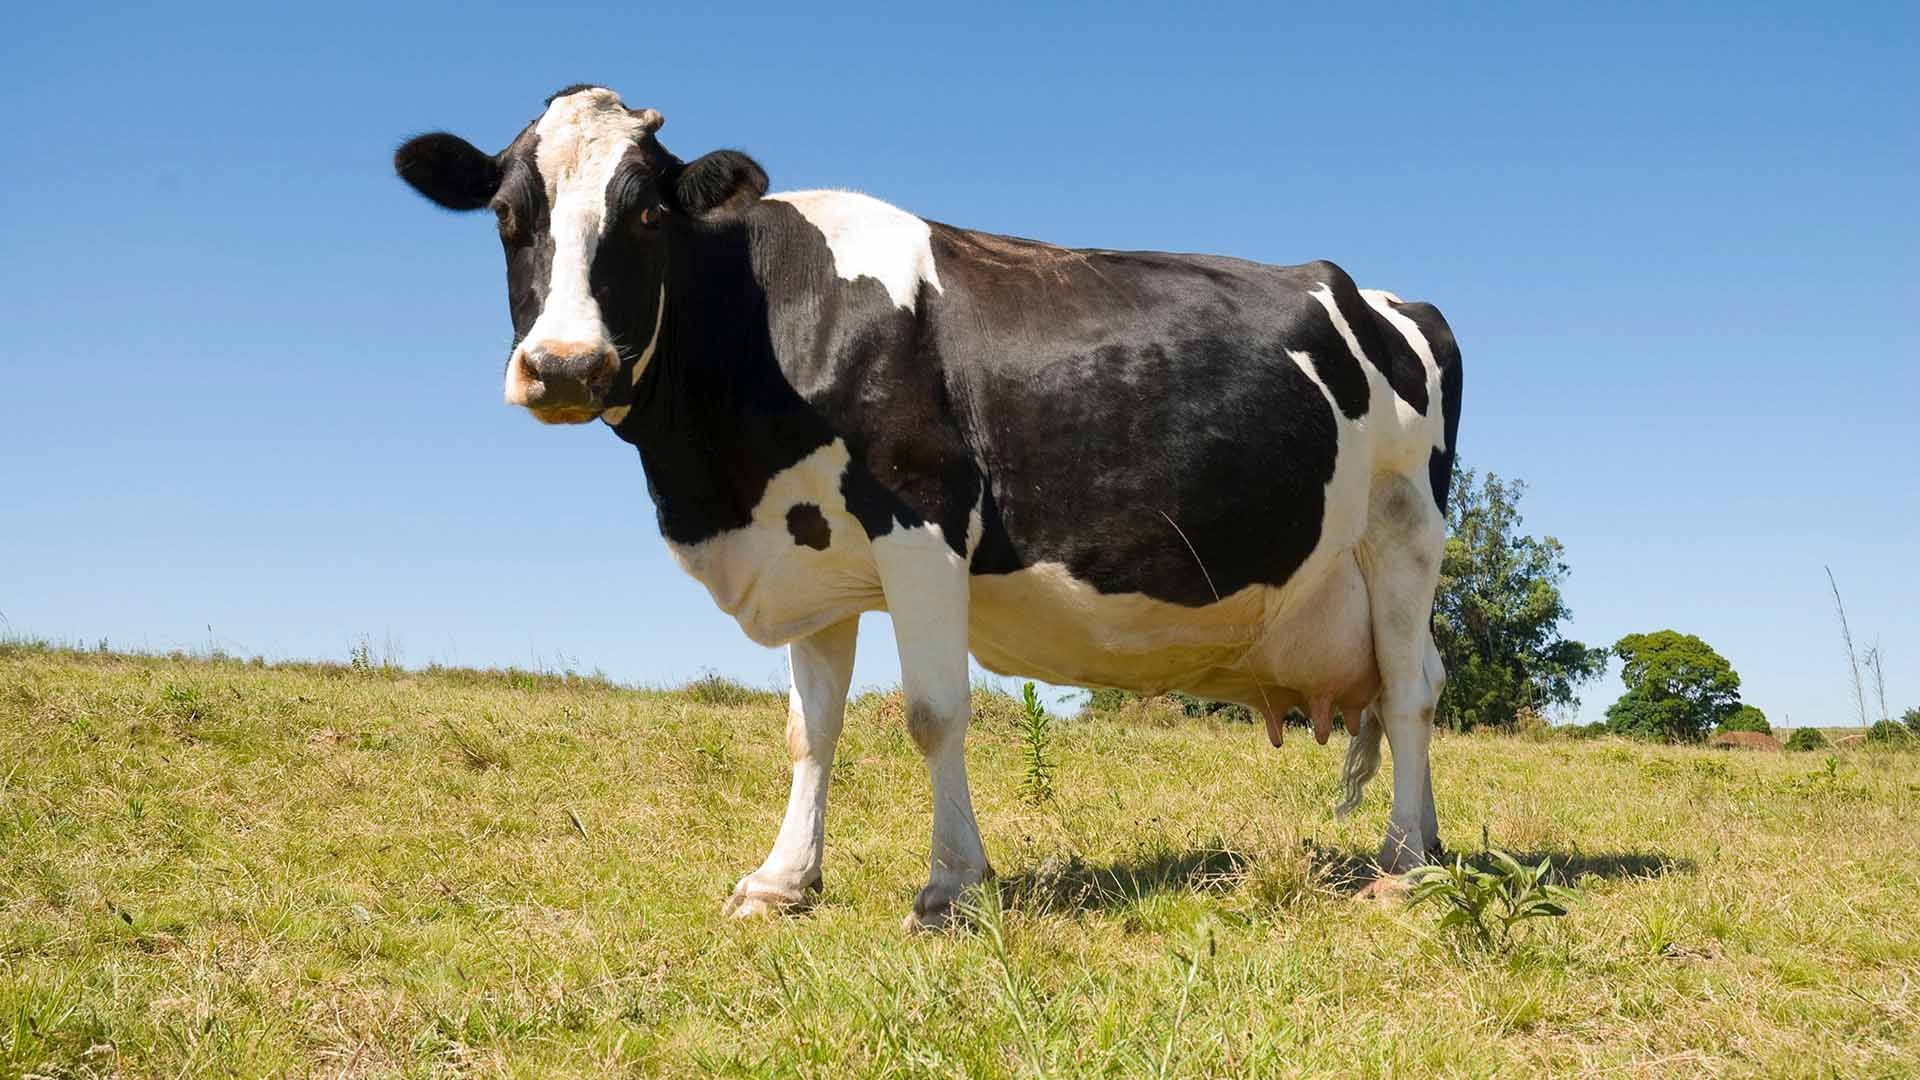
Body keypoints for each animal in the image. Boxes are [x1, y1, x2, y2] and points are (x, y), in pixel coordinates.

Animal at [395, 85, 1463, 929]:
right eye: (506, 213)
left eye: (650, 215)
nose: (566, 367)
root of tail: (1384, 297)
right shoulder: (804, 558)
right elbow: (810, 730)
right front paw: (783, 882)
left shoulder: (923, 522)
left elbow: (934, 712)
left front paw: (951, 886)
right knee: (1416, 683)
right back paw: (1429, 844)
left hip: (1404, 529)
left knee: (1413, 690)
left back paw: (1406, 865)